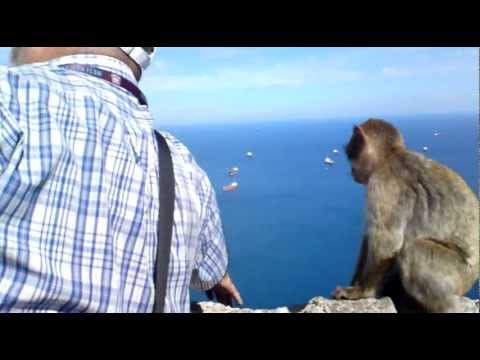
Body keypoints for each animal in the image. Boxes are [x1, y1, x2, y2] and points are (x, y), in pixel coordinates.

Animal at [332, 118, 478, 312]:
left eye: (351, 155)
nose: (351, 172)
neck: (389, 157)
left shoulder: (382, 185)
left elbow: (387, 243)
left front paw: (361, 292)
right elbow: (369, 236)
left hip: (458, 274)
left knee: (414, 250)